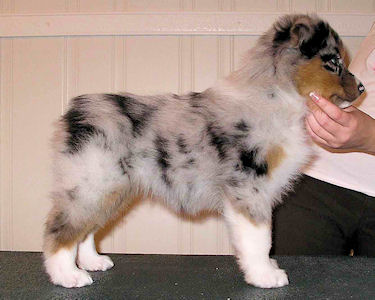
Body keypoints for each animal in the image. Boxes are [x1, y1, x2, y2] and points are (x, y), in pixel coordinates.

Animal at [43, 14, 364, 288]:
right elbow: (260, 238)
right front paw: (265, 276)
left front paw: (267, 270)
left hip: (111, 188)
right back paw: (67, 276)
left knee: (87, 226)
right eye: (334, 62)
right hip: (93, 181)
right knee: (61, 229)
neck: (278, 95)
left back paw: (92, 262)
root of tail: (75, 112)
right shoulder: (249, 187)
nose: (362, 88)